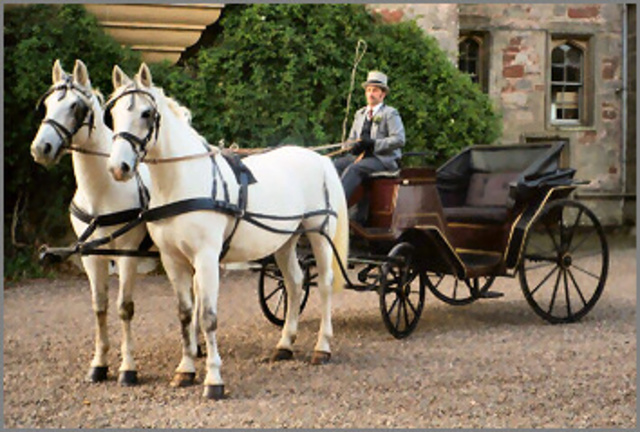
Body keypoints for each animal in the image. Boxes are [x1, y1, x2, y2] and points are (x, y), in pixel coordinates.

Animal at [30, 59, 155, 386]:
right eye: (47, 103)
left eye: (76, 106)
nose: (41, 148)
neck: (102, 191)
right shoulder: (91, 255)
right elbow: (100, 307)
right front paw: (99, 364)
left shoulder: (127, 254)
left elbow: (124, 308)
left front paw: (128, 368)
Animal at [104, 63, 349, 400]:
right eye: (113, 114)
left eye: (146, 113)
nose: (119, 167)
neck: (182, 180)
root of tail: (321, 159)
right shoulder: (173, 260)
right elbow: (185, 313)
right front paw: (185, 370)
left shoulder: (207, 258)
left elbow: (208, 317)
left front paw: (214, 379)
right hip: (285, 240)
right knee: (295, 284)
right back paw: (285, 345)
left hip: (318, 234)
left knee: (323, 285)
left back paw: (322, 348)